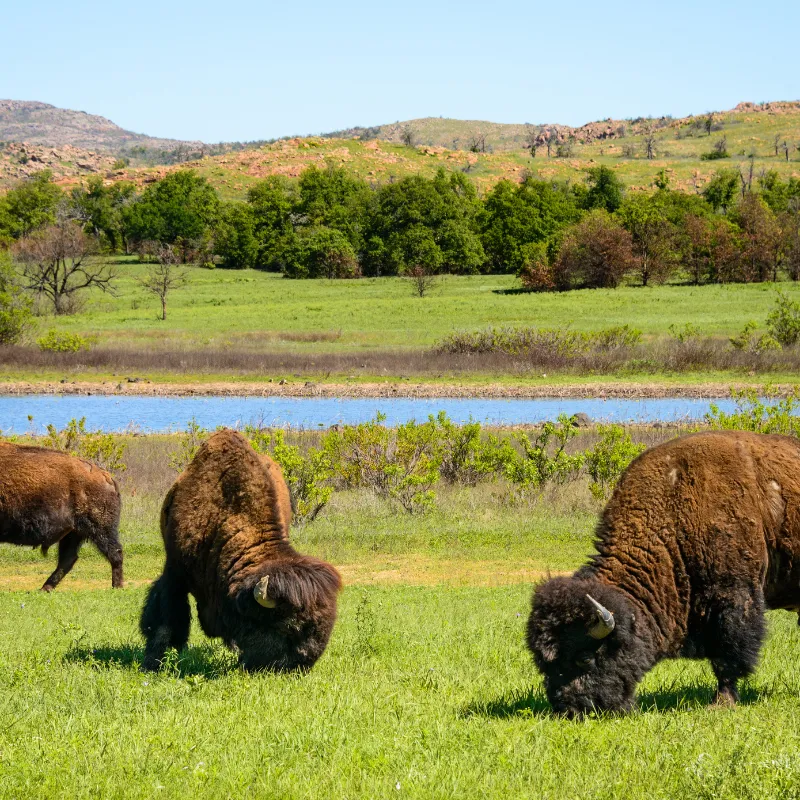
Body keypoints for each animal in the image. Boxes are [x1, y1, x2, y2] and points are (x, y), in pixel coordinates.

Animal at [0, 440, 122, 592]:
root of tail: (106, 476)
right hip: (74, 532)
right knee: (68, 559)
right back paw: (45, 588)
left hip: (100, 529)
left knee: (115, 552)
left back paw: (117, 586)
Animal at [141, 428, 340, 672]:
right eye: (288, 627)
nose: (303, 663)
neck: (223, 517)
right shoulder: (175, 571)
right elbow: (167, 617)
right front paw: (154, 663)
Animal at [528, 432, 800, 720]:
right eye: (543, 662)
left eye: (585, 658)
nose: (568, 710)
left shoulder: (734, 599)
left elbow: (728, 658)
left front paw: (721, 702)